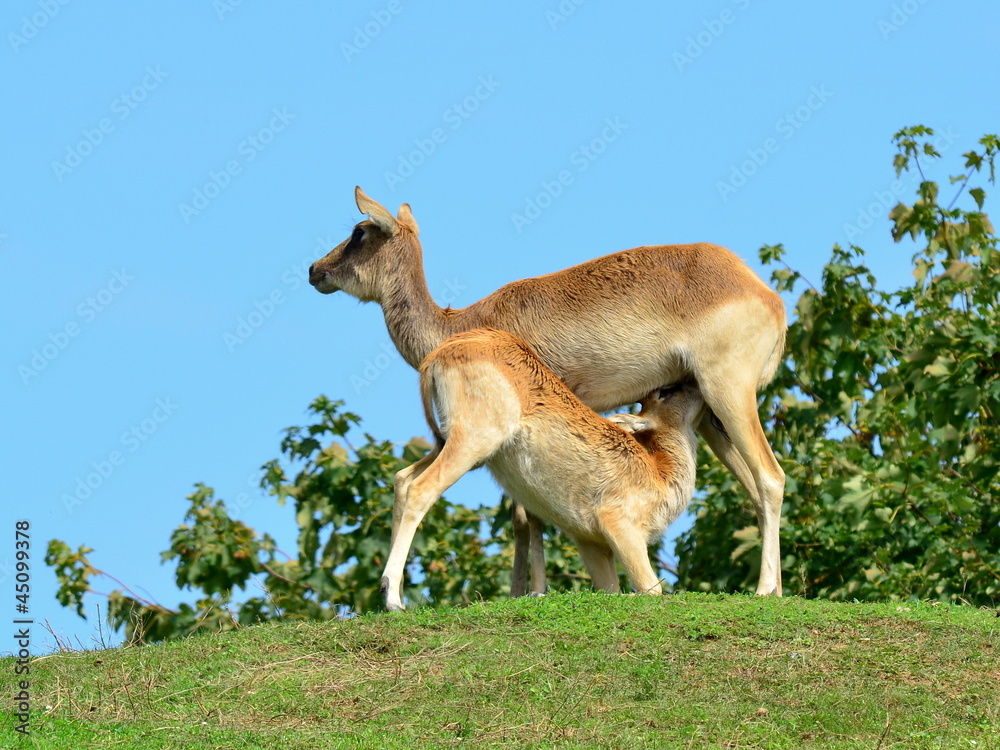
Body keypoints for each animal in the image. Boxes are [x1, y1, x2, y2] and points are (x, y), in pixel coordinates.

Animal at [382, 327, 704, 610]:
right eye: (663, 392)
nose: (696, 383)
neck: (657, 472)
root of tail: (440, 354)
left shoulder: (591, 543)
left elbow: (610, 588)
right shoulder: (621, 527)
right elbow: (652, 589)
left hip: (448, 443)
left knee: (402, 478)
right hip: (472, 443)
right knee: (421, 489)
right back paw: (393, 600)